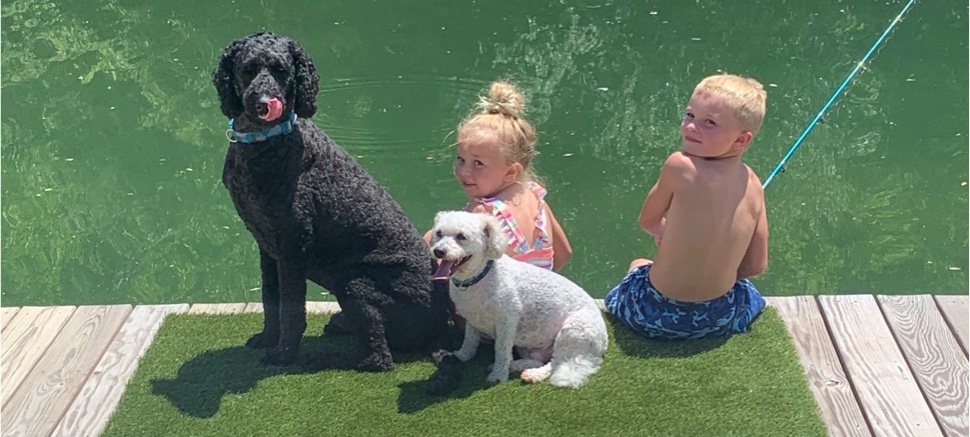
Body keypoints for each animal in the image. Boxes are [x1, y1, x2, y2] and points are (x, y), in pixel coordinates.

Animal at [211, 32, 450, 370]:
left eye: (282, 71)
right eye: (248, 69)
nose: (263, 104)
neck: (264, 142)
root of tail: (442, 325)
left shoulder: (292, 247)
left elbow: (291, 311)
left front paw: (284, 354)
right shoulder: (267, 247)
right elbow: (270, 300)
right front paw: (267, 338)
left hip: (354, 282)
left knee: (379, 358)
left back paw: (325, 357)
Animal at [430, 209, 604, 386]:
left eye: (461, 236)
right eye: (439, 233)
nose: (438, 251)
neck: (479, 277)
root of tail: (602, 345)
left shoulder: (506, 321)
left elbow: (501, 350)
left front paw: (498, 375)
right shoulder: (472, 317)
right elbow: (470, 339)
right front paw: (462, 355)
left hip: (573, 330)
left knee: (557, 363)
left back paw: (534, 374)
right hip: (529, 343)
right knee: (540, 360)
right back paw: (518, 365)